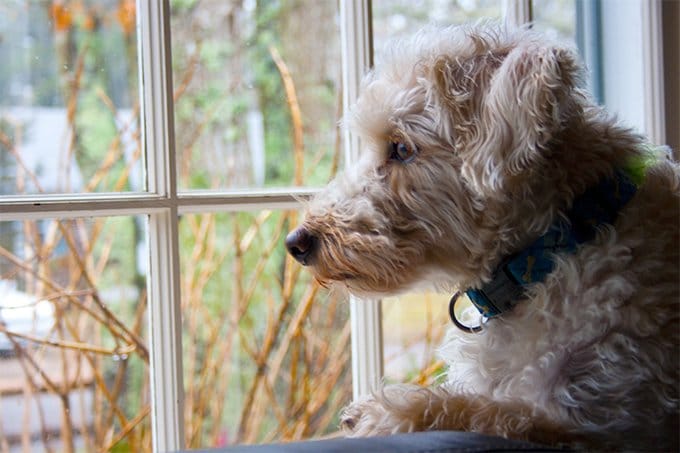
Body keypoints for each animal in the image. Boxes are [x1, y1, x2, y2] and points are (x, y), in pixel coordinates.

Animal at [284, 23, 676, 450]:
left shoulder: (605, 425)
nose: (296, 242)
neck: (552, 252)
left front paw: (388, 410)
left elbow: (490, 412)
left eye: (401, 148)